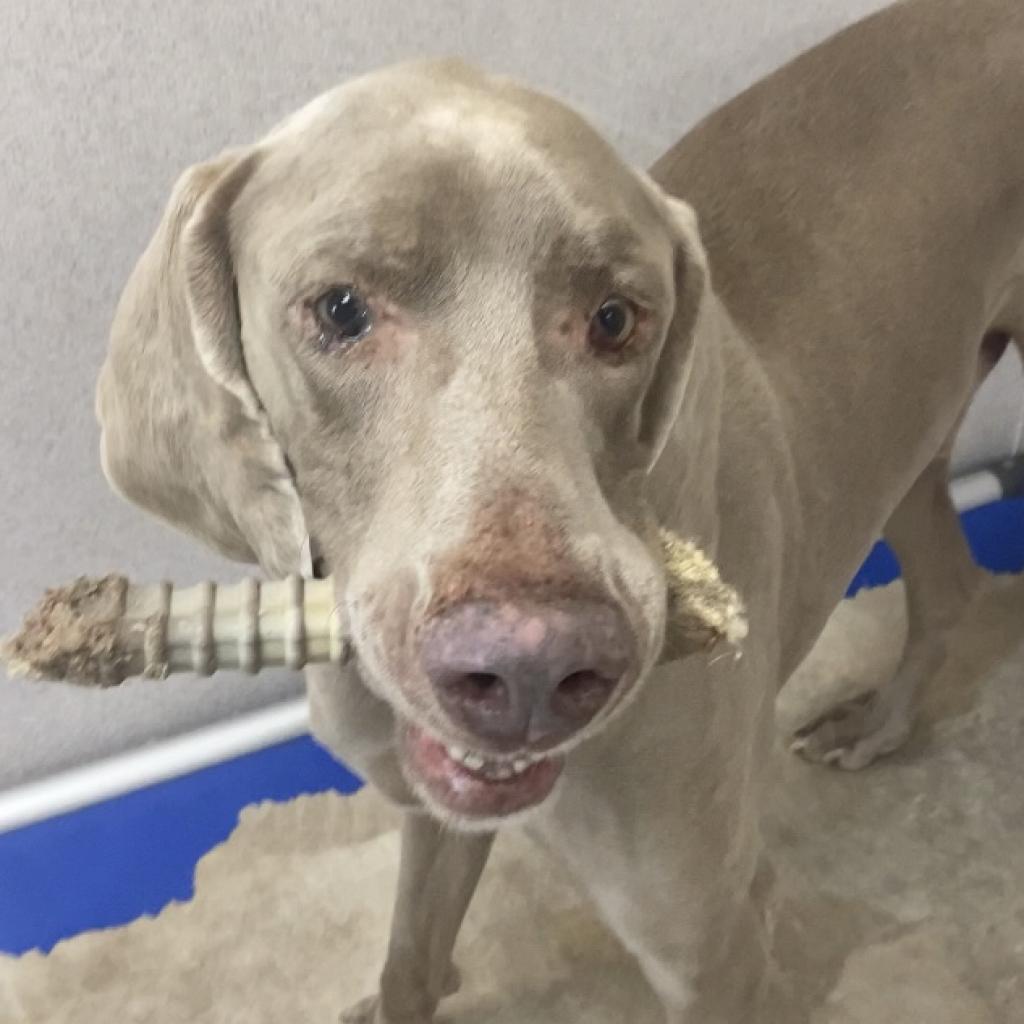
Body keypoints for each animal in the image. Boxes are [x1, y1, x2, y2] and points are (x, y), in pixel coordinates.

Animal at [92, 0, 1019, 1019]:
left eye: (617, 318)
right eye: (339, 308)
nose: (532, 672)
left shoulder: (715, 942)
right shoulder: (438, 809)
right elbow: (410, 954)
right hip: (916, 425)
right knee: (949, 579)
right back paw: (878, 725)